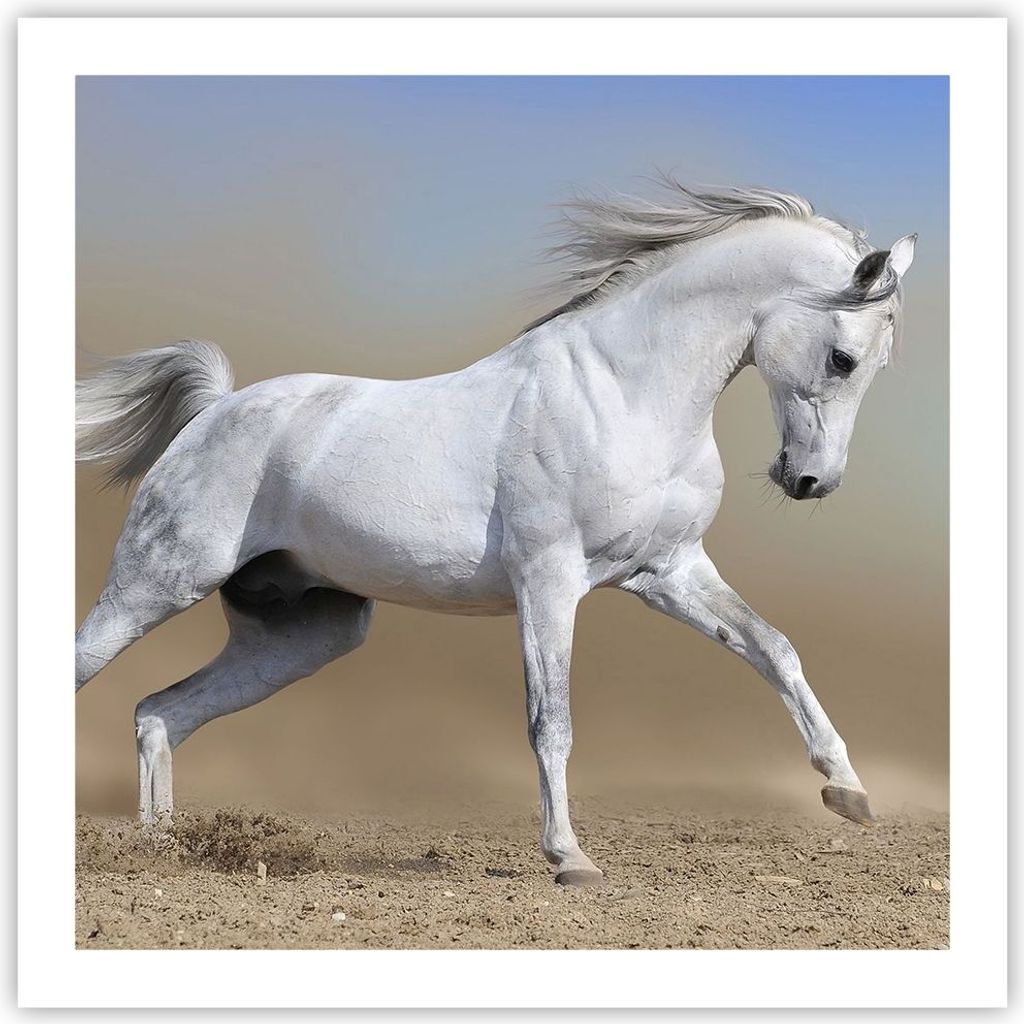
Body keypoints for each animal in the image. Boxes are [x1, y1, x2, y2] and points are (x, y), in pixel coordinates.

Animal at [75, 181, 915, 886]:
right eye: (843, 358)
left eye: (882, 364)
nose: (810, 481)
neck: (625, 393)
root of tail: (216, 410)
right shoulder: (548, 581)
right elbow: (552, 721)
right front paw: (570, 858)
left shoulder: (669, 572)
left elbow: (774, 649)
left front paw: (848, 792)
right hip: (157, 583)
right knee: (95, 672)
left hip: (303, 635)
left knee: (160, 713)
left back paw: (163, 849)